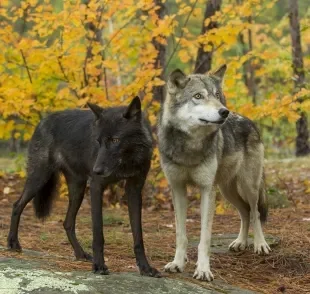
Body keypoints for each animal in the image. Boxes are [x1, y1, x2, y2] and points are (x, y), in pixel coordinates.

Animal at [7, 97, 160, 278]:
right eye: (98, 141)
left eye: (115, 140)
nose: (96, 170)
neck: (128, 161)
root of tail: (43, 120)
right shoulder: (96, 187)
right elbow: (98, 234)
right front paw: (99, 265)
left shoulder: (134, 190)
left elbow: (138, 236)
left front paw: (145, 268)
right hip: (39, 178)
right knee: (17, 205)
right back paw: (13, 243)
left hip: (77, 190)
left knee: (67, 222)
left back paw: (80, 253)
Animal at [159, 65, 270, 282]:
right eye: (198, 96)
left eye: (217, 95)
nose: (224, 111)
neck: (190, 147)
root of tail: (249, 121)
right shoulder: (178, 189)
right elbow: (181, 235)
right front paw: (177, 264)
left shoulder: (206, 190)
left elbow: (205, 238)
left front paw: (203, 270)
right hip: (227, 191)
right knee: (244, 212)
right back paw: (240, 242)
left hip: (248, 186)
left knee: (255, 212)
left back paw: (260, 244)